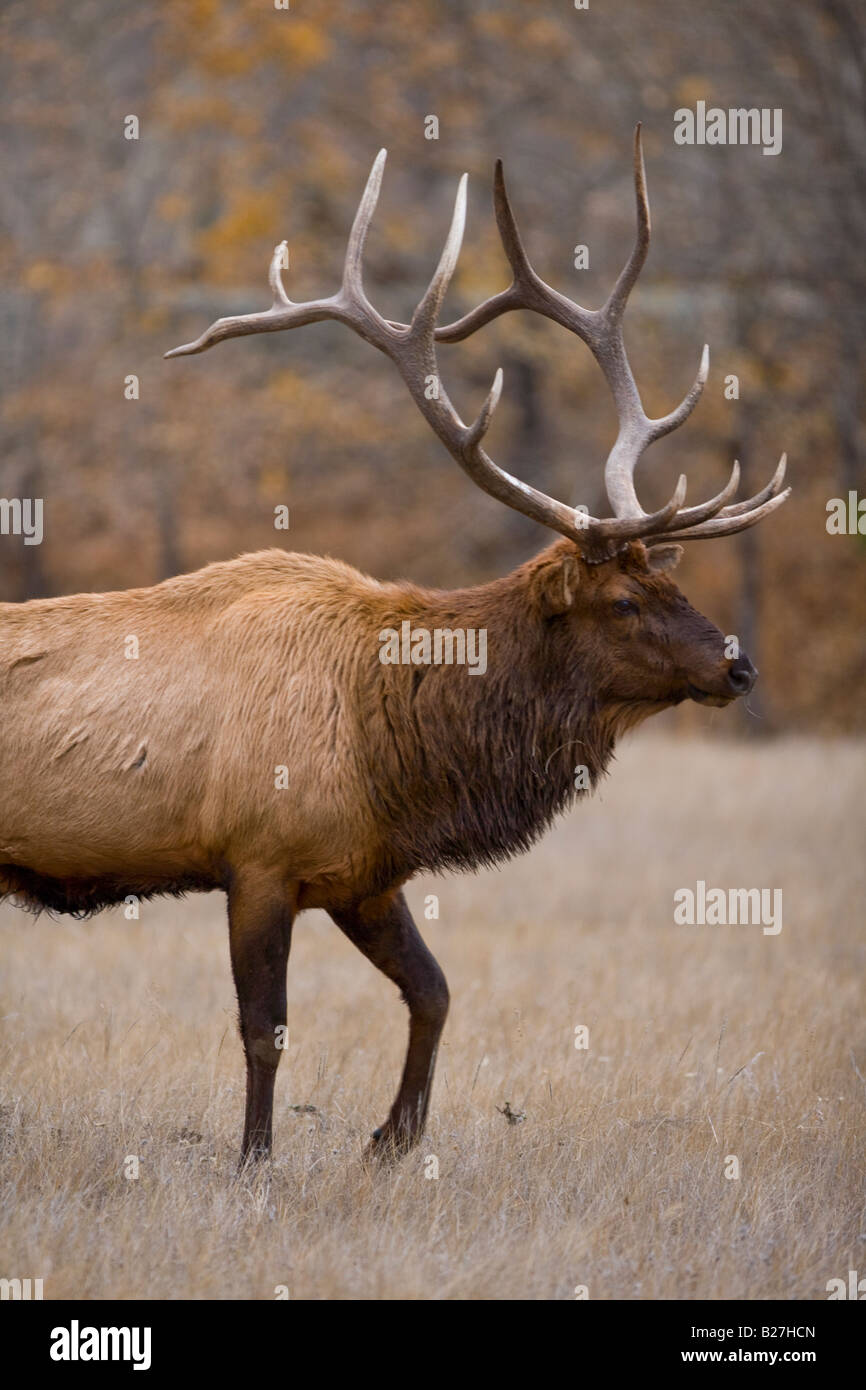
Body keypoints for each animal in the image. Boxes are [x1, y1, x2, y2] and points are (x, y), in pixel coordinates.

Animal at [0, 129, 789, 1165]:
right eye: (624, 599)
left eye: (673, 583)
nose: (737, 665)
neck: (397, 756)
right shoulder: (258, 858)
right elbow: (265, 1028)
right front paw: (254, 1162)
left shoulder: (362, 873)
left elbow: (436, 991)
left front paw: (393, 1139)